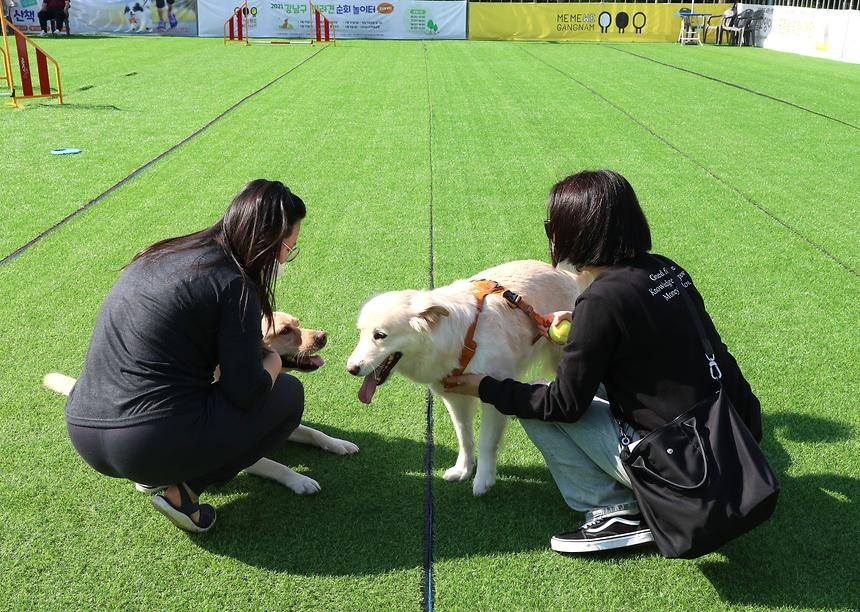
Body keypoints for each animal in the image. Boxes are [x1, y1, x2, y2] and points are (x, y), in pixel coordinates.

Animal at [346, 260, 580, 494]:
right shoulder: (454, 398)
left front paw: (483, 480)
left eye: (380, 335)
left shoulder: (492, 396)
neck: (462, 341)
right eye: (361, 333)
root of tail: (565, 273)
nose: (350, 369)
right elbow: (464, 437)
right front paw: (463, 470)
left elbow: (485, 441)